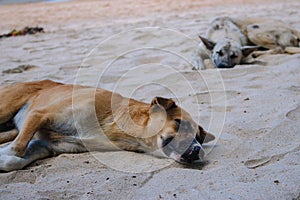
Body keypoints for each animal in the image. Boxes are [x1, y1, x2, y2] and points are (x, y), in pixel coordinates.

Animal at [0, 80, 214, 172]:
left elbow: (17, 158)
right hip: (5, 109)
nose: (198, 150)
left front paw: (4, 160)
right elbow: (18, 147)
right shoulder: (39, 115)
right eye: (179, 123)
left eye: (199, 138)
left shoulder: (48, 145)